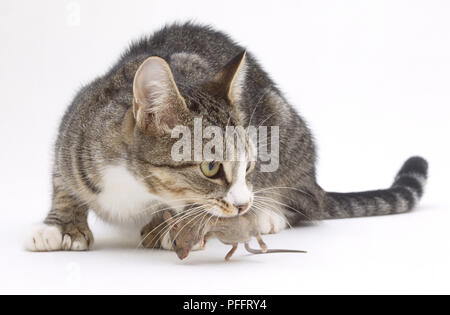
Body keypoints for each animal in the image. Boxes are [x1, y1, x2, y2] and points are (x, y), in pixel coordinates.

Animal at [25, 22, 428, 252]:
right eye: (210, 167)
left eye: (249, 166)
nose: (243, 203)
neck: (131, 186)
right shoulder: (72, 131)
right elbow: (63, 184)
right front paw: (60, 227)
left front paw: (167, 226)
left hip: (284, 128)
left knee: (306, 201)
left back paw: (269, 215)